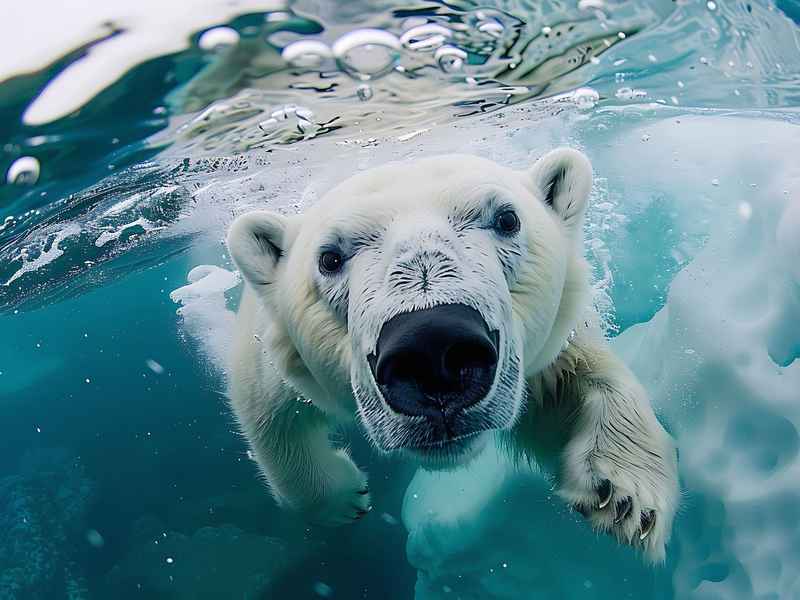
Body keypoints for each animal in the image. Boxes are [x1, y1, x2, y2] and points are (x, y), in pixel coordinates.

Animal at [225, 148, 679, 562]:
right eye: (329, 258)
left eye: (507, 219)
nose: (432, 350)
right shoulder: (270, 353)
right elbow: (268, 417)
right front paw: (345, 498)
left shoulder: (547, 346)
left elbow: (576, 378)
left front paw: (624, 493)